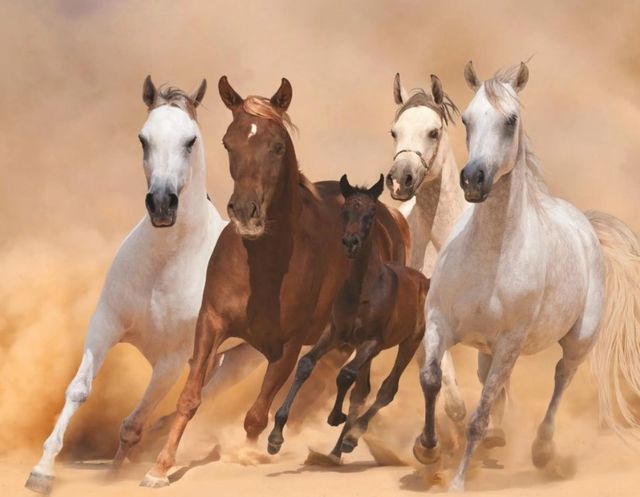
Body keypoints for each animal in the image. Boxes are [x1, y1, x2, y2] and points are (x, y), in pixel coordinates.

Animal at [25, 76, 263, 495]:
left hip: (247, 359)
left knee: (200, 398)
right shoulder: (104, 326)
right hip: (219, 357)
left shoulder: (170, 361)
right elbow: (79, 390)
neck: (164, 267)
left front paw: (123, 472)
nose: (162, 205)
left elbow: (134, 422)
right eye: (143, 138)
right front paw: (43, 470)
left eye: (190, 140)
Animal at [140, 77, 410, 487]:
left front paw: (250, 454)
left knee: (359, 387)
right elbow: (190, 398)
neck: (263, 266)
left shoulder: (289, 346)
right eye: (228, 142)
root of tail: (391, 218)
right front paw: (159, 467)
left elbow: (256, 416)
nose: (245, 212)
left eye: (278, 146)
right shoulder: (211, 324)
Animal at [267, 174, 427, 462]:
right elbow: (306, 365)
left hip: (409, 343)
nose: (350, 242)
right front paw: (275, 437)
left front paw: (335, 417)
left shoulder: (372, 341)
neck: (362, 290)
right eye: (345, 210)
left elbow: (345, 375)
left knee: (386, 388)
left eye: (371, 212)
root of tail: (424, 280)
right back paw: (336, 449)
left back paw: (351, 439)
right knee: (363, 390)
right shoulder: (335, 334)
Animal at [413, 61, 640, 492]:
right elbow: (431, 380)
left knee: (561, 378)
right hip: (487, 349)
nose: (473, 179)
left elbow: (479, 415)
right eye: (466, 119)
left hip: (577, 341)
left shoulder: (509, 343)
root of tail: (585, 224)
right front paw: (427, 449)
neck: (489, 257)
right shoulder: (438, 322)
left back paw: (543, 451)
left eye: (511, 120)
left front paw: (458, 481)